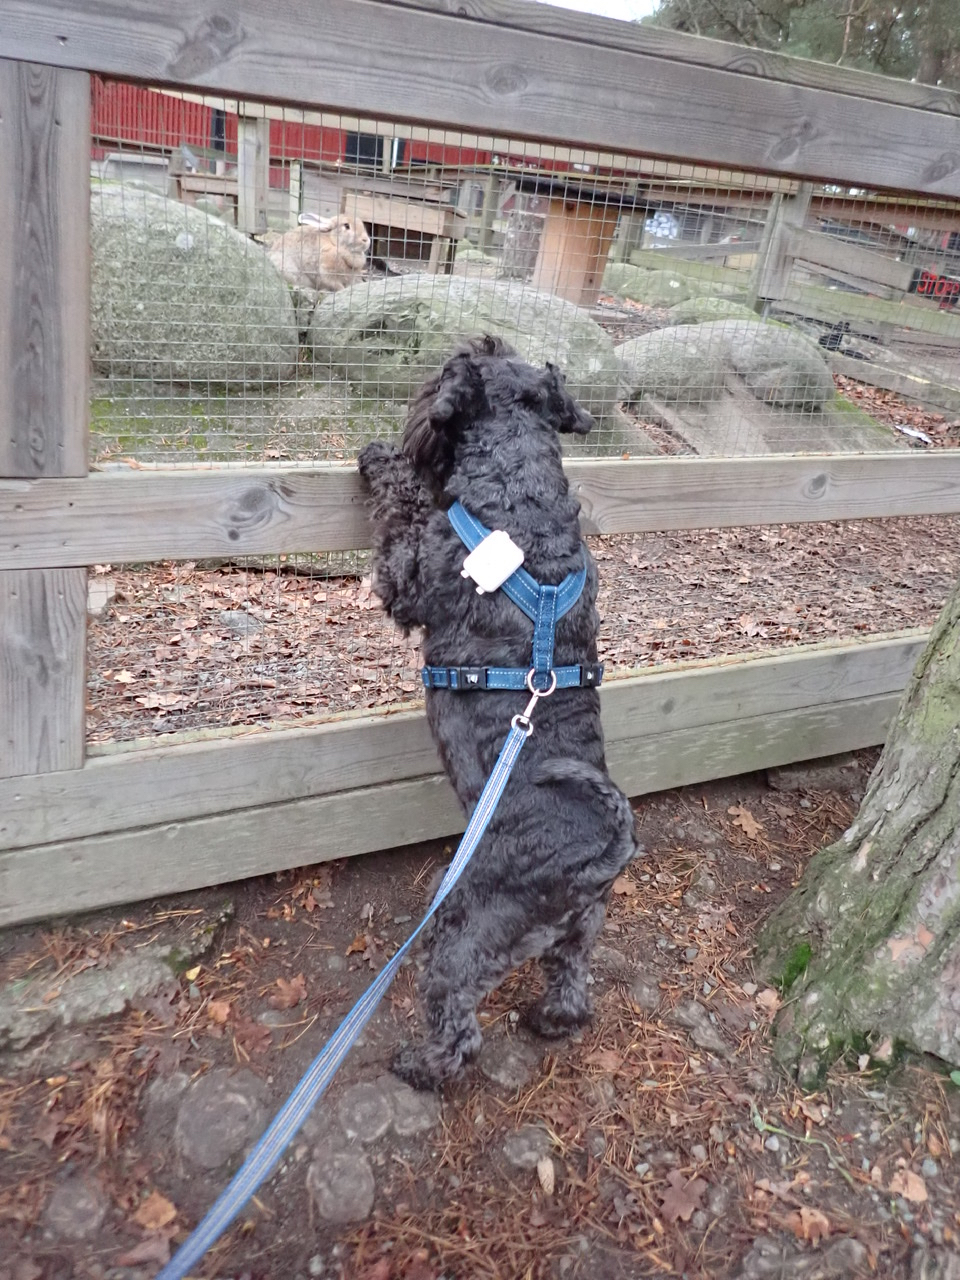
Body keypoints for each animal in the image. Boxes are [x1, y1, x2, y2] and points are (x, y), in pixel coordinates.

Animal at [357, 336, 637, 1091]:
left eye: (440, 377)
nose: (410, 421)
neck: (520, 500)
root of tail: (600, 855)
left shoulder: (407, 578)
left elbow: (402, 514)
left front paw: (384, 463)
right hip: (580, 932)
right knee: (573, 991)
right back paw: (547, 1022)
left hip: (469, 925)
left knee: (458, 1024)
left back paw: (418, 1066)